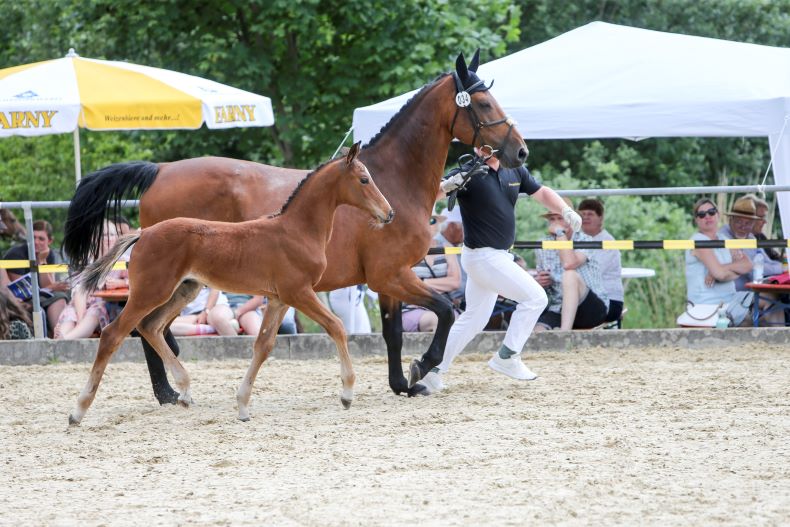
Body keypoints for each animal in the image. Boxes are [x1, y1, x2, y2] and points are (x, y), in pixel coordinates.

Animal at [68, 143, 392, 424]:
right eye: (364, 179)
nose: (389, 213)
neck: (296, 230)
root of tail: (143, 233)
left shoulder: (279, 299)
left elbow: (263, 345)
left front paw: (243, 406)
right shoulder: (299, 292)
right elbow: (336, 326)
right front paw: (347, 393)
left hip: (184, 289)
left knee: (150, 326)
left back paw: (185, 391)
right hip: (151, 291)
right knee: (113, 334)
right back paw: (78, 411)